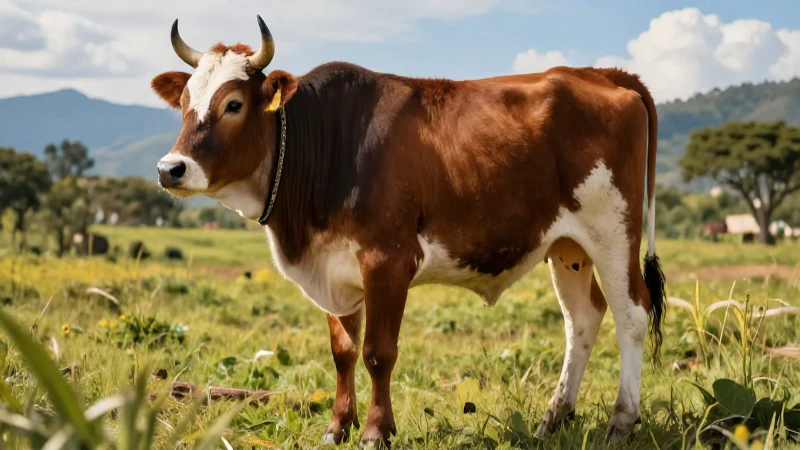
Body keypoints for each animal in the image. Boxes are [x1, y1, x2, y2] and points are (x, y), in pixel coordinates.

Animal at [152, 16, 666, 447]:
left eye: (233, 104)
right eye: (184, 103)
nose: (170, 169)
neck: (334, 145)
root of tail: (602, 73)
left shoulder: (389, 260)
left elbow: (378, 352)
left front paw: (376, 431)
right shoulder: (334, 266)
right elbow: (343, 351)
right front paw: (337, 427)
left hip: (613, 231)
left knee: (632, 313)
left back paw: (622, 422)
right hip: (567, 246)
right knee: (582, 318)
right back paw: (553, 418)